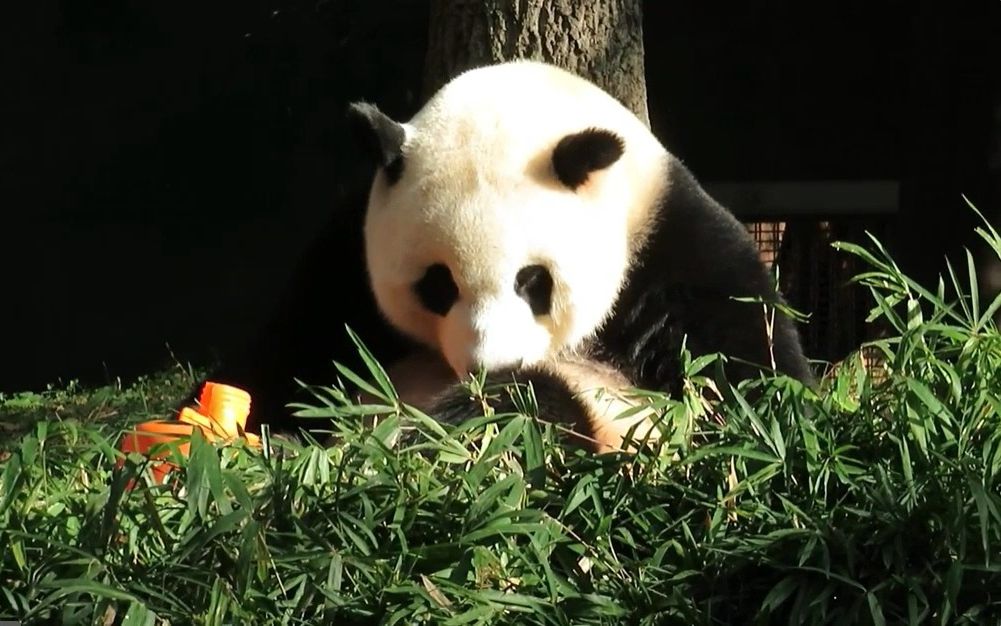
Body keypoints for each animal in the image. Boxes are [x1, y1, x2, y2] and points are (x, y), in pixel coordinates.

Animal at [193, 61, 812, 450]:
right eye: (437, 285)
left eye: (534, 281)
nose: (488, 366)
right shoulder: (344, 256)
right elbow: (286, 354)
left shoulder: (671, 249)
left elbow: (749, 380)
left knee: (542, 406)